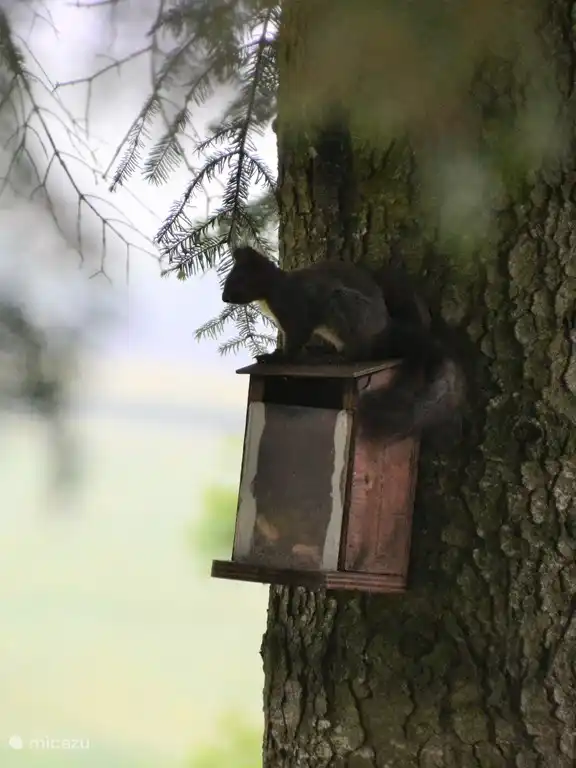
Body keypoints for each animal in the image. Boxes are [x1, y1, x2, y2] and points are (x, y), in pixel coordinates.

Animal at [221, 245, 466, 444]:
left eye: (239, 280)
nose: (224, 298)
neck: (273, 289)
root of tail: (385, 334)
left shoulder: (296, 311)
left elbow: (295, 341)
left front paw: (274, 357)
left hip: (345, 308)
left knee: (359, 354)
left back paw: (333, 357)